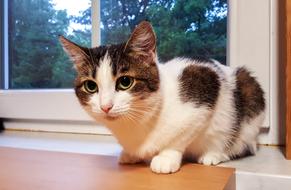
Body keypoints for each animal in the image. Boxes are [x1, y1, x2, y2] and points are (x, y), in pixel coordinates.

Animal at [60, 20, 266, 174]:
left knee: (243, 144)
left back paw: (215, 154)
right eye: (91, 86)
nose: (105, 106)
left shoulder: (204, 82)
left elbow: (180, 136)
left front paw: (166, 157)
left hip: (249, 93)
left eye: (125, 81)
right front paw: (131, 154)